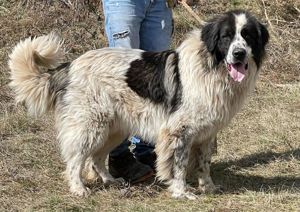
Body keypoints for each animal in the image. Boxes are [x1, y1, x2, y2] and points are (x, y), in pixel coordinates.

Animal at [8, 9, 268, 199]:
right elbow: (179, 166)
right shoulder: (179, 132)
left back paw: (110, 180)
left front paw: (208, 188)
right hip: (90, 125)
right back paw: (79, 188)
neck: (211, 66)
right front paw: (181, 192)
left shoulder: (206, 133)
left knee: (96, 157)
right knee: (75, 159)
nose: (239, 54)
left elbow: (204, 163)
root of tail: (71, 65)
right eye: (226, 37)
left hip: (113, 128)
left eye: (247, 36)